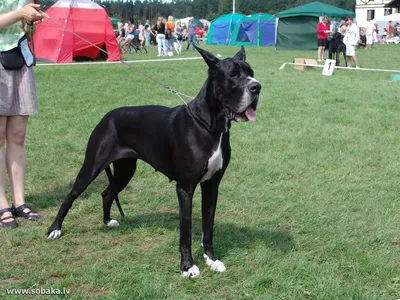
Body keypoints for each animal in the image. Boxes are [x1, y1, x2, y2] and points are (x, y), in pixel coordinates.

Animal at [47, 45, 260, 278]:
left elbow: (208, 227)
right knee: (70, 196)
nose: (256, 87)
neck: (209, 124)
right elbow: (186, 231)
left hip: (125, 170)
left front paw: (211, 260)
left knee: (107, 193)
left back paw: (107, 221)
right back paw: (55, 229)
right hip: (91, 167)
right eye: (233, 75)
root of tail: (106, 117)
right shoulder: (185, 188)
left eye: (251, 72)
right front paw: (187, 266)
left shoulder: (212, 185)